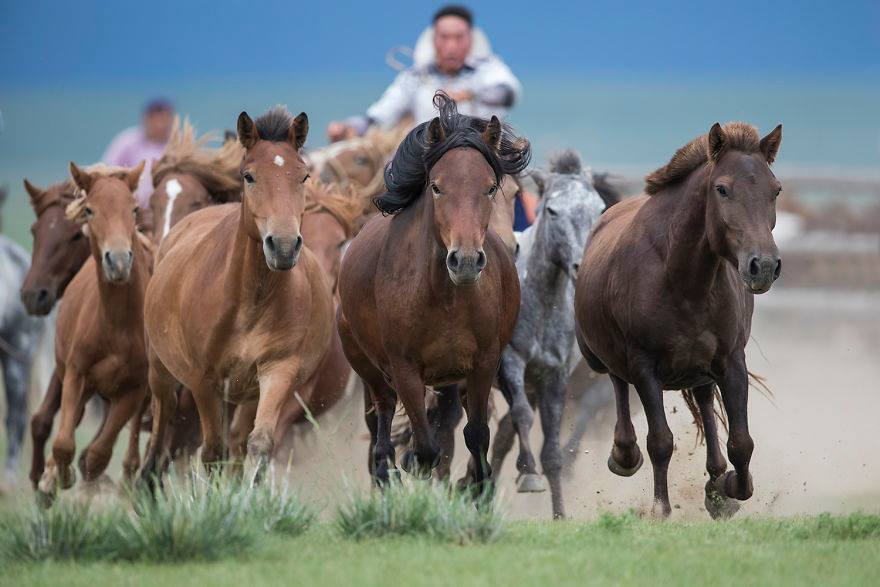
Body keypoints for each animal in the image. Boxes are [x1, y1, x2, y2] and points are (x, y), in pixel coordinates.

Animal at [34, 162, 150, 506]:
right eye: (89, 210)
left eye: (134, 208)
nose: (119, 260)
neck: (117, 326)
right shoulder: (76, 374)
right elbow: (63, 443)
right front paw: (57, 478)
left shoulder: (134, 389)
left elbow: (98, 455)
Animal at [139, 108, 336, 484]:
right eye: (248, 176)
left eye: (303, 176)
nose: (283, 246)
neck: (250, 302)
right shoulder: (203, 381)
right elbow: (211, 450)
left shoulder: (277, 370)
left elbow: (257, 444)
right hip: (161, 372)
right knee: (160, 430)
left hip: (245, 393)